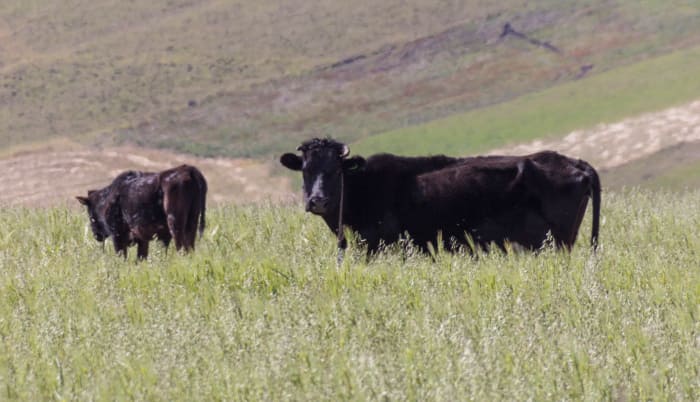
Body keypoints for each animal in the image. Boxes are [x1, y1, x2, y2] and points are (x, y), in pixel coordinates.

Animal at [77, 164, 207, 260]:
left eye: (90, 215)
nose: (96, 235)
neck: (106, 200)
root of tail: (188, 170)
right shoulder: (144, 238)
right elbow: (142, 258)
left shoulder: (118, 234)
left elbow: (122, 257)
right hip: (192, 220)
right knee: (190, 247)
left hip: (175, 222)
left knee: (182, 248)